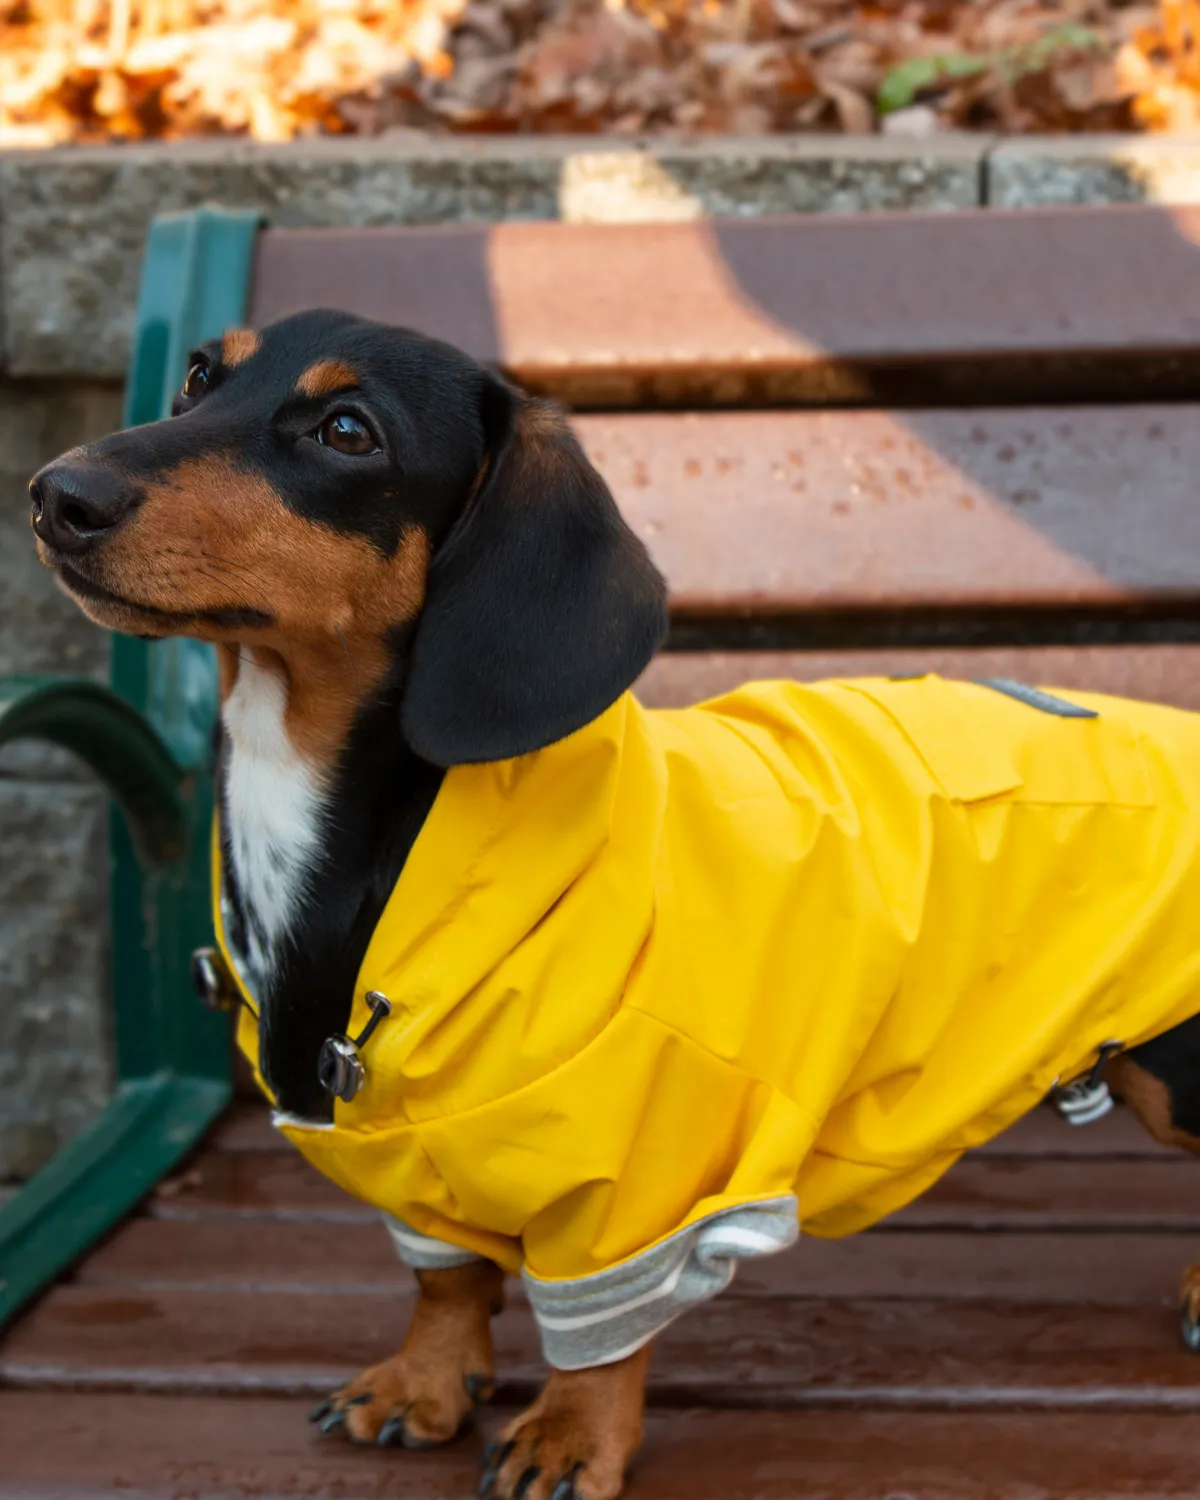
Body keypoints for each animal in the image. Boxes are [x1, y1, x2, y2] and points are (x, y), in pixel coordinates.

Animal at [30, 304, 1200, 1500]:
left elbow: (595, 1335)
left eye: (348, 430)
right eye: (196, 376)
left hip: (1177, 1069)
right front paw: (423, 1383)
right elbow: (445, 1279)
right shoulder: (408, 1163)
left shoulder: (629, 1187)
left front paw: (569, 1437)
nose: (55, 493)